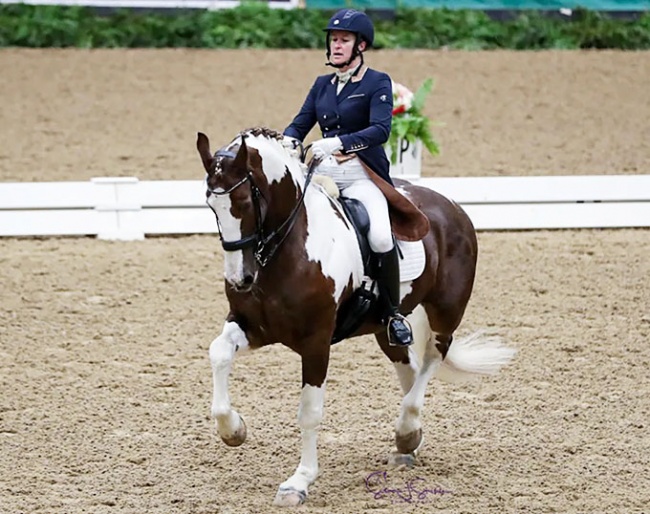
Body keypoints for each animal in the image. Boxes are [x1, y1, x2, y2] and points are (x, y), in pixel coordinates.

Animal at [195, 127, 512, 504]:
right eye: (210, 205)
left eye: (243, 203)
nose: (240, 280)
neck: (289, 248)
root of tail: (451, 206)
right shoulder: (253, 326)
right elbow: (218, 352)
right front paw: (234, 430)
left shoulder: (316, 342)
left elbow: (309, 412)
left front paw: (299, 481)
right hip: (384, 327)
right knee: (409, 367)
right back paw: (408, 441)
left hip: (446, 312)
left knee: (433, 358)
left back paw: (407, 430)